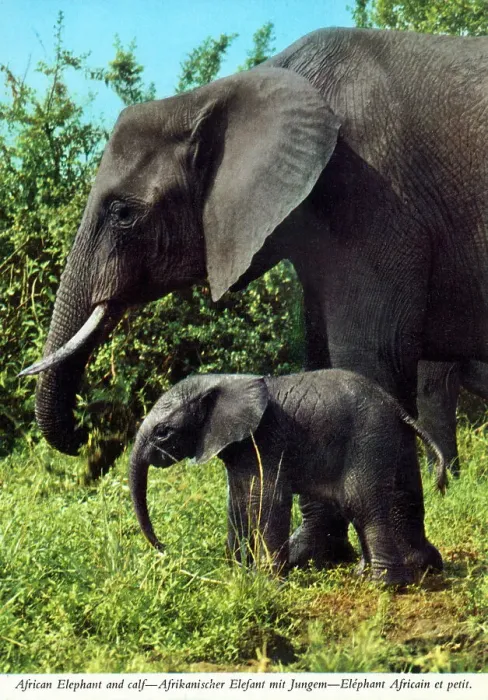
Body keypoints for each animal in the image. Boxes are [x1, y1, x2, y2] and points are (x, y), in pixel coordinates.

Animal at [129, 370, 447, 585]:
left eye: (163, 432)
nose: (165, 549)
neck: (221, 382)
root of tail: (397, 407)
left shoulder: (266, 438)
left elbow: (266, 500)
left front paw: (266, 583)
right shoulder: (242, 448)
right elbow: (238, 502)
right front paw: (238, 574)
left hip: (368, 439)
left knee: (360, 504)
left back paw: (383, 586)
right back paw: (371, 574)